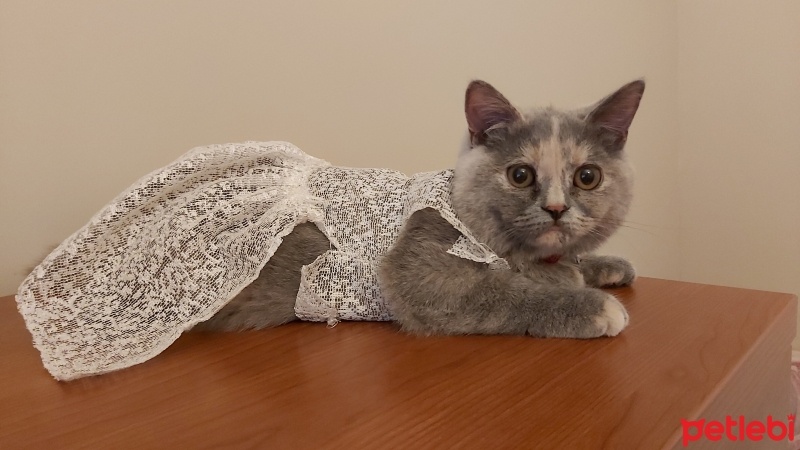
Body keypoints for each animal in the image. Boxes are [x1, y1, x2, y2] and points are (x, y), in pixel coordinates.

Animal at [200, 79, 644, 338]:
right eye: (520, 175)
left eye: (587, 177)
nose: (555, 208)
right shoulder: (423, 264)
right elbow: (502, 291)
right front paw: (593, 306)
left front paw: (603, 266)